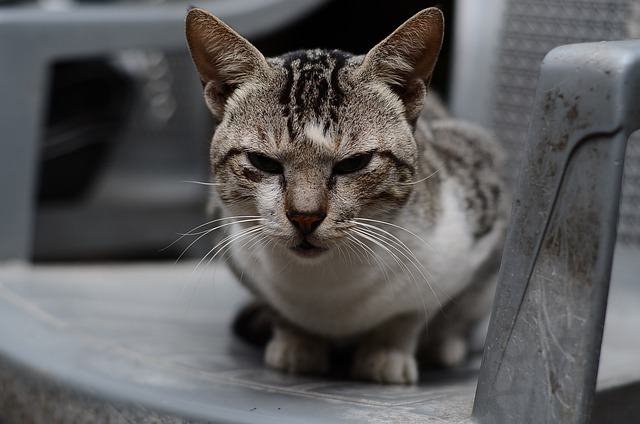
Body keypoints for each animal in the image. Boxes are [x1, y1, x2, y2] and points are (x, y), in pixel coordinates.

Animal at [185, 6, 510, 384]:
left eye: (354, 163)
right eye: (263, 162)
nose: (305, 216)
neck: (329, 288)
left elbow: (410, 314)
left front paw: (387, 352)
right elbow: (279, 309)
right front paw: (297, 343)